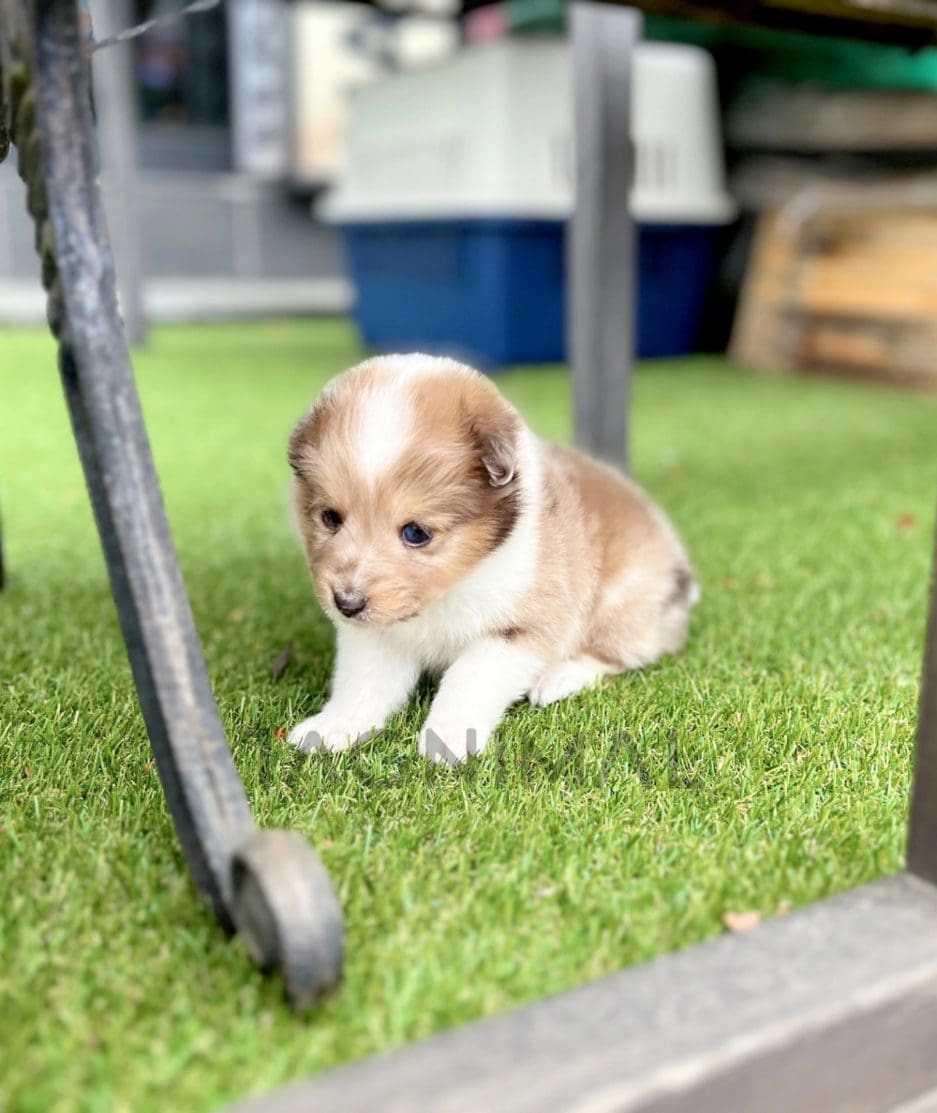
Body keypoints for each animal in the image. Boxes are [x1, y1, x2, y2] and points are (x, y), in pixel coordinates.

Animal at [289, 356, 698, 765]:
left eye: (416, 533)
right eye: (330, 518)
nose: (346, 604)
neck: (447, 591)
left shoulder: (516, 630)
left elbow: (468, 678)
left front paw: (448, 737)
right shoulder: (379, 634)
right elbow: (363, 683)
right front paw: (331, 728)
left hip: (620, 601)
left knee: (622, 654)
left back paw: (558, 678)